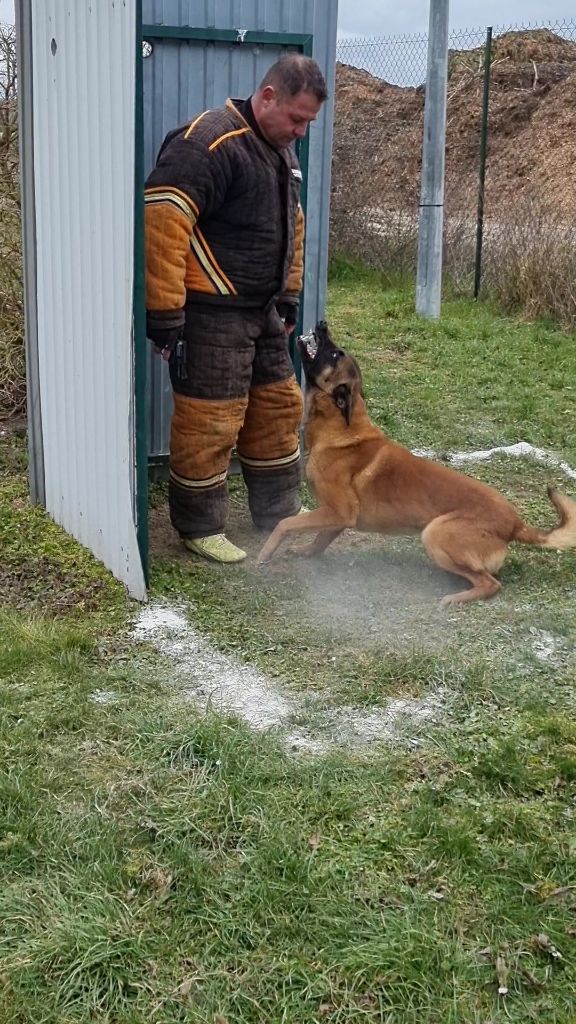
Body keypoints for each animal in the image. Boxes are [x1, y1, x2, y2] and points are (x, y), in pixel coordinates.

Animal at [258, 323, 573, 602]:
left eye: (336, 354)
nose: (322, 324)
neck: (341, 426)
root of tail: (515, 523)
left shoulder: (339, 511)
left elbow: (285, 523)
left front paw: (265, 553)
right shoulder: (336, 516)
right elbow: (319, 540)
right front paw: (305, 552)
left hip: (435, 534)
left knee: (490, 583)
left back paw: (455, 598)